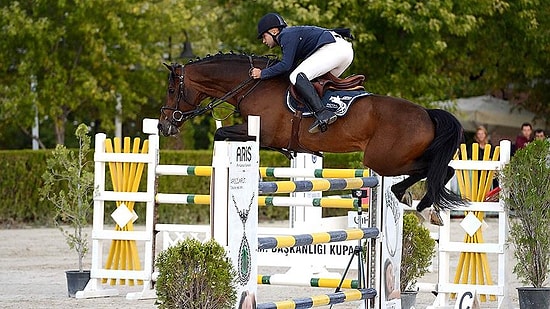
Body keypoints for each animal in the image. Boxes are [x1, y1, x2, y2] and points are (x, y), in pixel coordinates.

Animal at [157, 52, 468, 224]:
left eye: (172, 90)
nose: (164, 126)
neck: (253, 85)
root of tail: (427, 113)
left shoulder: (258, 130)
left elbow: (221, 132)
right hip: (393, 158)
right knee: (443, 169)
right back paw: (420, 204)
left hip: (383, 160)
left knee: (434, 170)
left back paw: (417, 203)